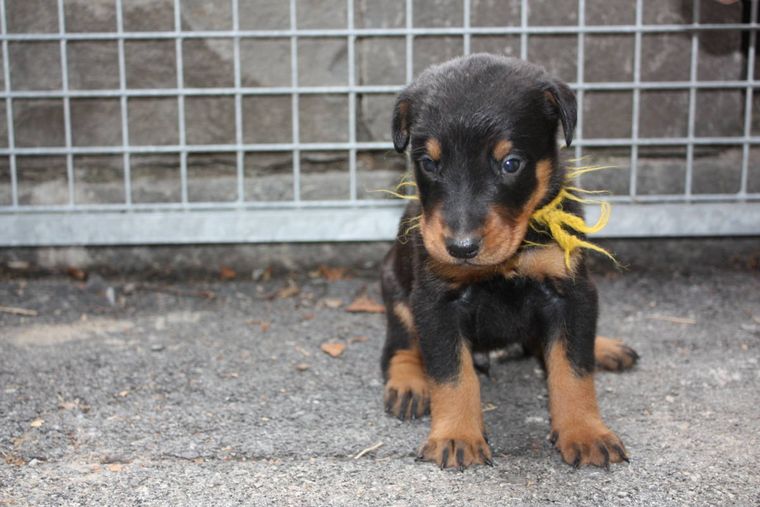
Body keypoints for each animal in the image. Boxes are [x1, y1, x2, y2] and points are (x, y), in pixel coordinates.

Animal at [382, 53, 640, 470]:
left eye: (511, 163)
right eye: (429, 164)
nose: (460, 247)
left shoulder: (571, 291)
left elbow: (573, 366)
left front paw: (585, 432)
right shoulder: (434, 301)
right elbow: (451, 372)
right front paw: (456, 435)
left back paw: (605, 348)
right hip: (395, 288)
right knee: (400, 346)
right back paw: (408, 385)